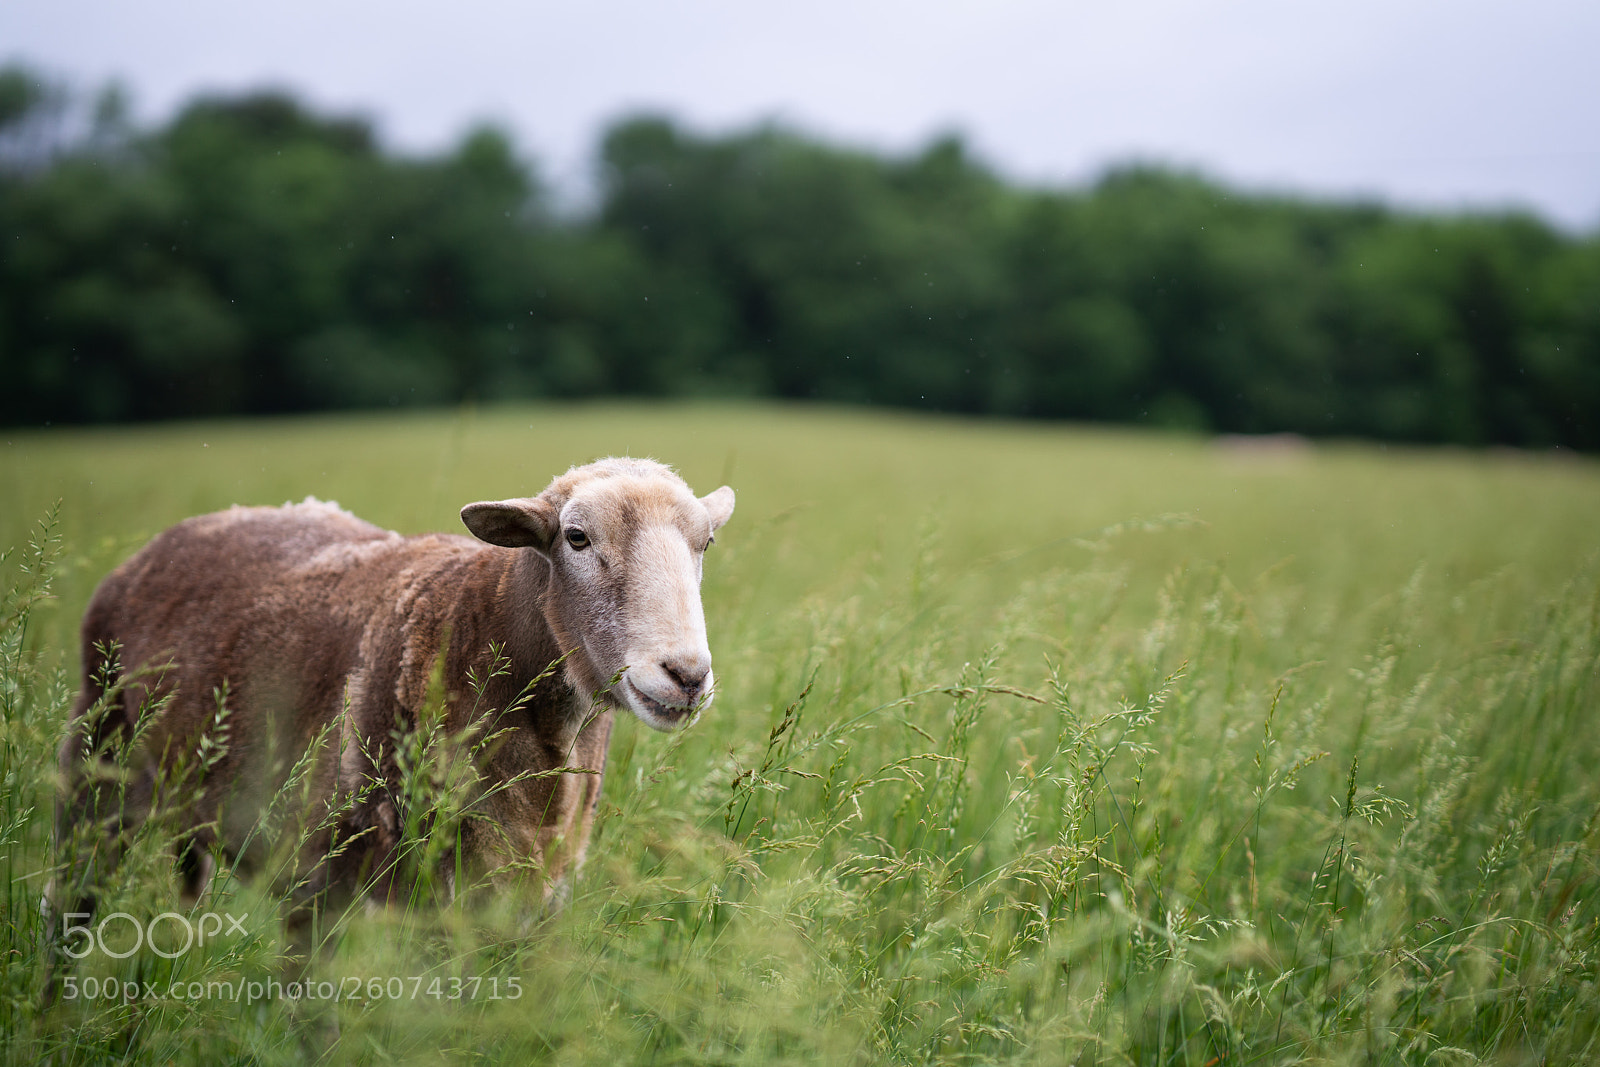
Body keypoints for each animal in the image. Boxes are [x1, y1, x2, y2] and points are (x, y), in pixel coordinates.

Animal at [56, 456, 735, 918]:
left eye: (707, 542)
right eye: (576, 537)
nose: (686, 675)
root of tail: (173, 537)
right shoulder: (327, 885)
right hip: (95, 767)